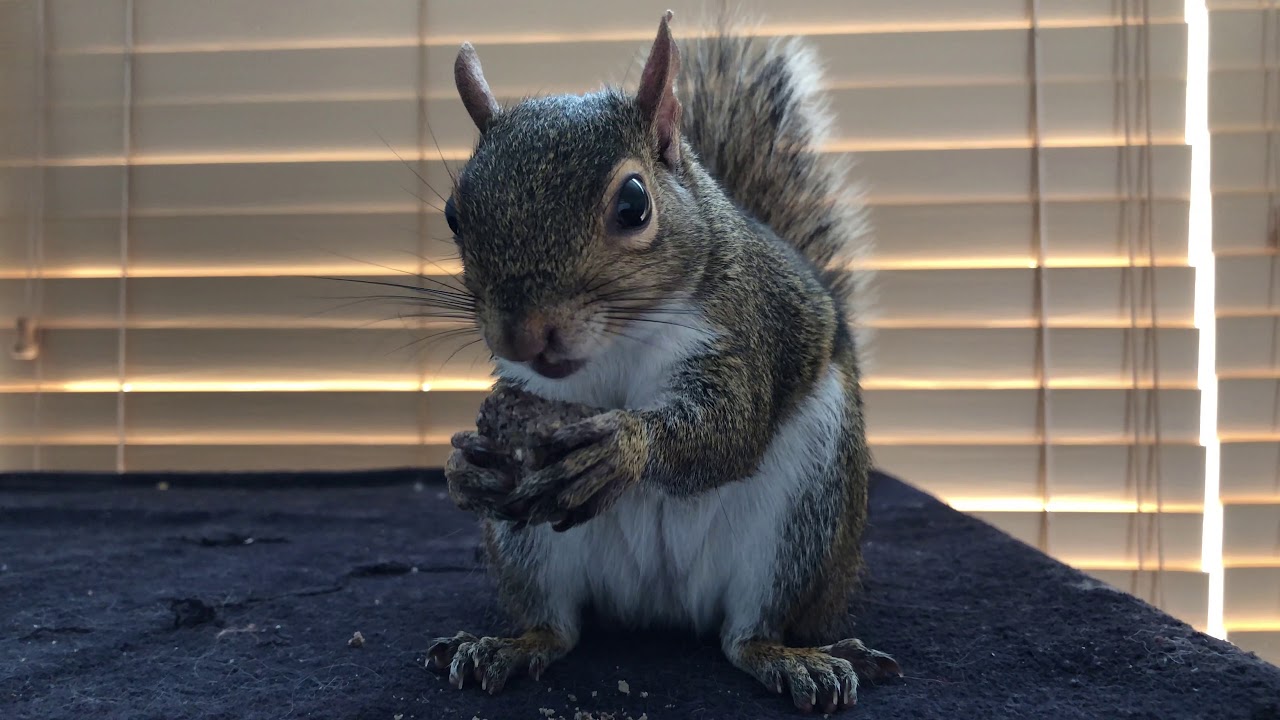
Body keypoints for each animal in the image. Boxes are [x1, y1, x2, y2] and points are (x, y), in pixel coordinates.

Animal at [425, 10, 899, 714]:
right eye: (455, 214)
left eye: (634, 204)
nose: (522, 334)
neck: (617, 343)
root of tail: (660, 607)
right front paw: (465, 469)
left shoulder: (739, 335)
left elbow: (730, 429)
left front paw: (624, 446)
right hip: (531, 547)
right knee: (557, 626)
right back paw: (507, 646)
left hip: (804, 516)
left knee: (747, 633)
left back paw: (791, 658)